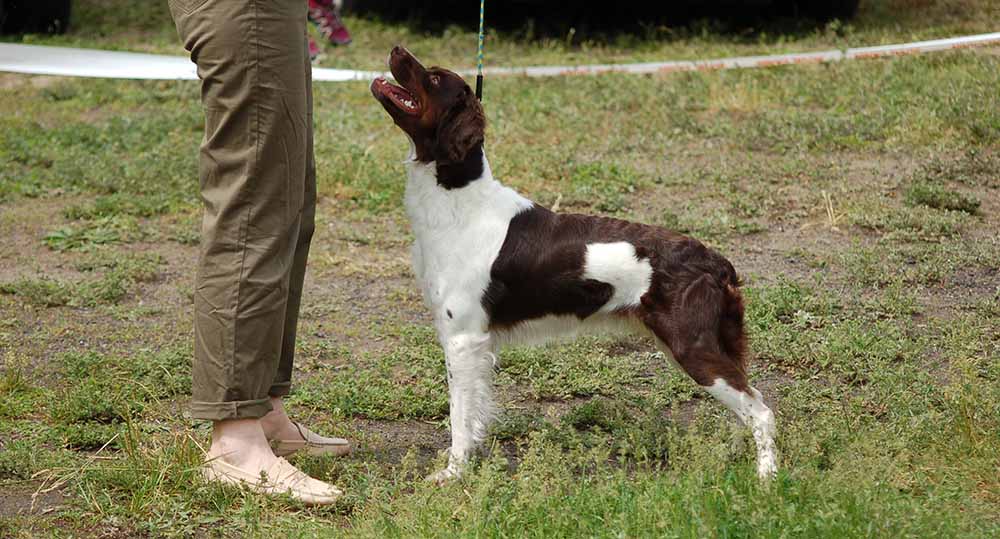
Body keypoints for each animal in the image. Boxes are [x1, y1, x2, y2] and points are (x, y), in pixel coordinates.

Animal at [372, 46, 776, 484]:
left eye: (431, 79)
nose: (396, 49)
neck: (460, 202)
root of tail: (717, 263)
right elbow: (475, 412)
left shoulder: (463, 337)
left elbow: (460, 417)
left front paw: (453, 473)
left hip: (692, 346)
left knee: (761, 411)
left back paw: (767, 479)